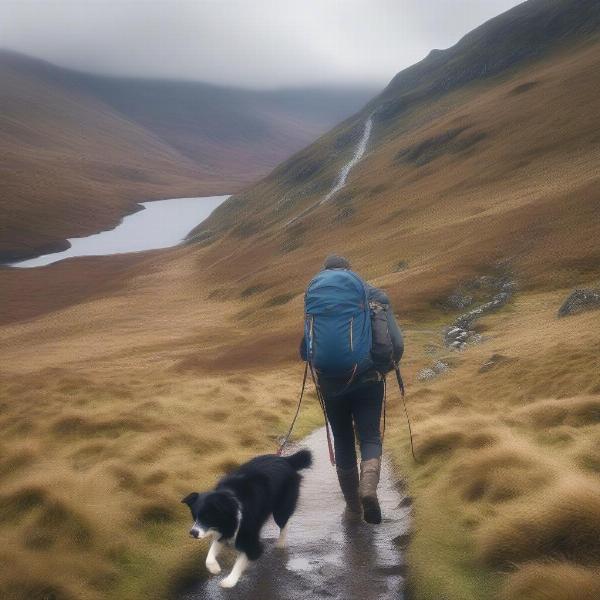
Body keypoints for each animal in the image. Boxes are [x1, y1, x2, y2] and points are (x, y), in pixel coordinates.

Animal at [182, 450, 314, 584]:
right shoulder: (224, 529)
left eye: (207, 517)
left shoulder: (247, 532)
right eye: (194, 516)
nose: (193, 533)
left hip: (281, 508)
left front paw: (230, 581)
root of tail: (286, 460)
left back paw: (281, 543)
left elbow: (246, 556)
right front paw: (215, 568)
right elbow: (211, 553)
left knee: (284, 523)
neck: (231, 504)